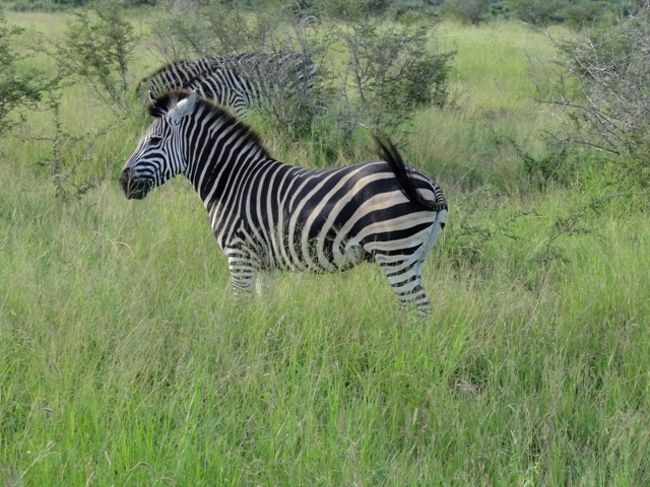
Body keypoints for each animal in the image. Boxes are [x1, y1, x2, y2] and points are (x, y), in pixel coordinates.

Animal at [120, 89, 446, 314]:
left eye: (154, 141)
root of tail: (430, 182)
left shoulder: (239, 255)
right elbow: (265, 307)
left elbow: (240, 305)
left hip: (395, 253)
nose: (123, 182)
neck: (231, 182)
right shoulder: (265, 263)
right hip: (413, 255)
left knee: (419, 309)